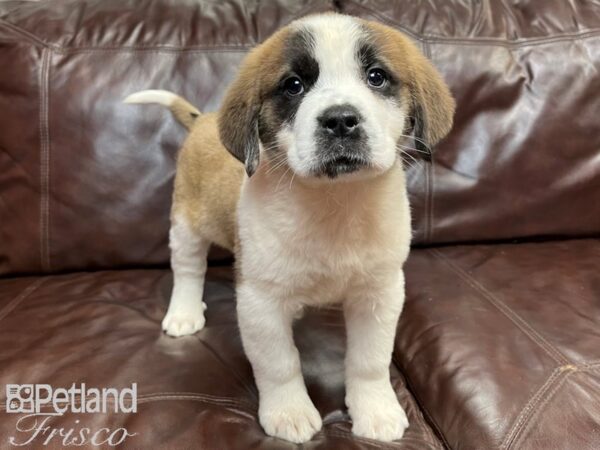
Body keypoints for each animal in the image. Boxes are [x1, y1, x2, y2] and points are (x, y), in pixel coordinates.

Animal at [126, 13, 454, 442]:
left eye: (376, 77)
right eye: (294, 85)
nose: (340, 120)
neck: (333, 203)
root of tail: (205, 121)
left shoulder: (380, 293)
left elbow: (370, 359)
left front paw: (376, 409)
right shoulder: (259, 301)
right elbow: (279, 362)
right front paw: (289, 411)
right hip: (186, 223)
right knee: (188, 268)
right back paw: (184, 311)